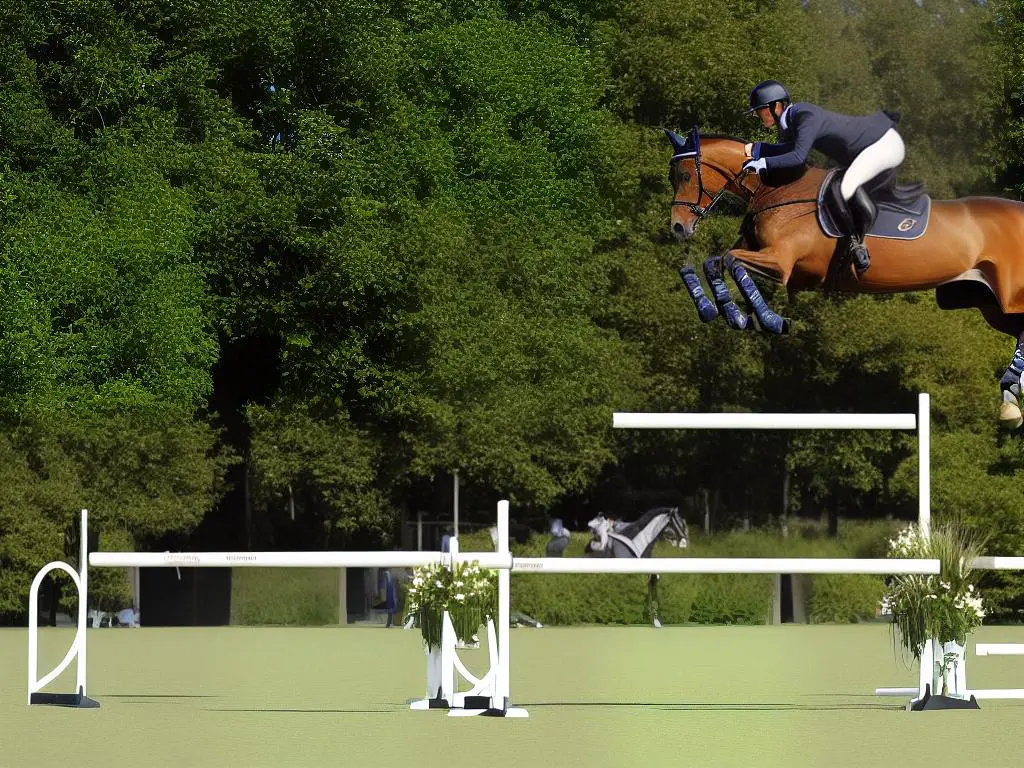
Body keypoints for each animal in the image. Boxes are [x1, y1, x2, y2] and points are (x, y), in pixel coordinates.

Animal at [663, 123, 1024, 430]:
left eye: (685, 175)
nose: (678, 227)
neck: (774, 192)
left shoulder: (780, 263)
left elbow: (731, 262)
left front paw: (768, 319)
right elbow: (715, 263)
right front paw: (727, 313)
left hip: (1009, 298)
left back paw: (1010, 398)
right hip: (988, 303)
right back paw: (1010, 401)